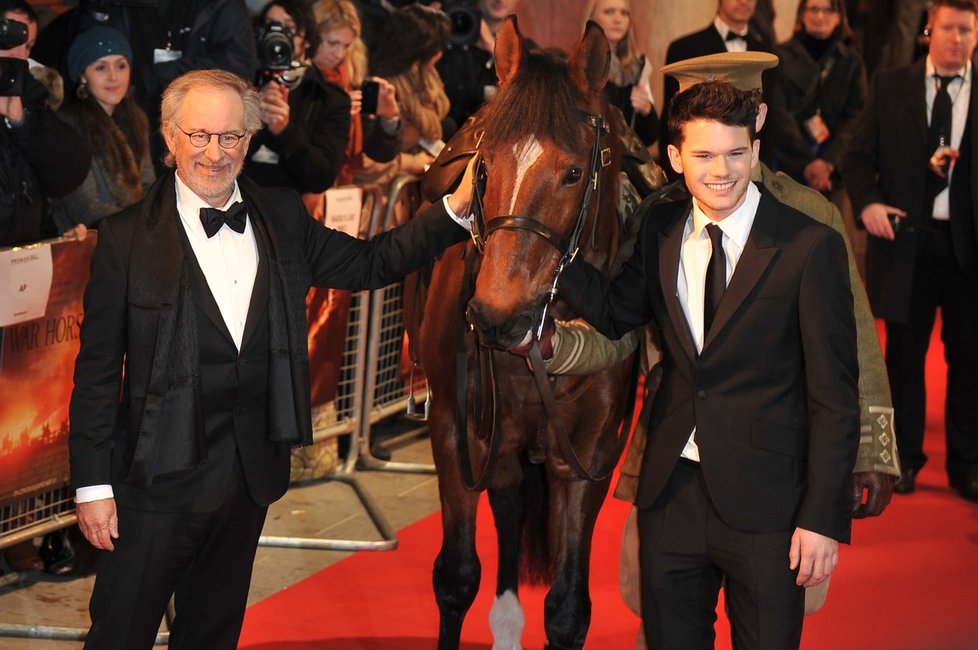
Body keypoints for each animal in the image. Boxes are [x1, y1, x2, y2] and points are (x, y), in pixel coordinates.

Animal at [412, 16, 632, 648]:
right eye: (484, 166)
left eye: (575, 172)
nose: (495, 315)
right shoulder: (457, 429)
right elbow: (457, 577)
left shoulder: (589, 456)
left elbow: (568, 607)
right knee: (508, 507)